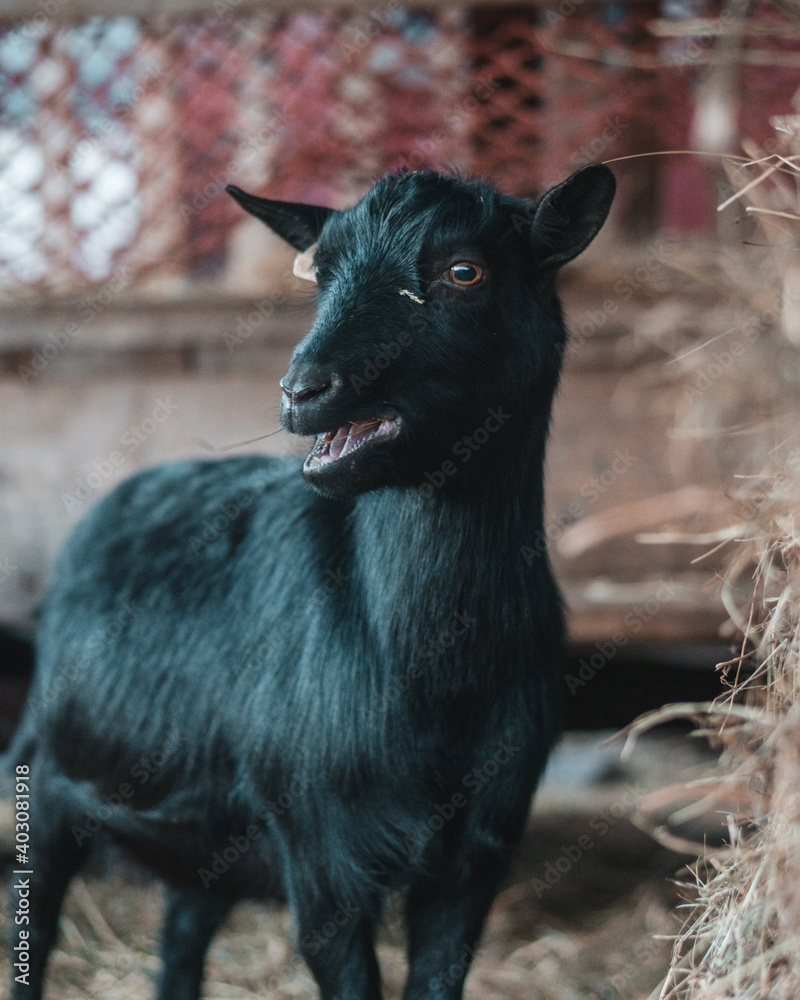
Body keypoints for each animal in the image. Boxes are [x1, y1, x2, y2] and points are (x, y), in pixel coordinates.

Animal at [7, 163, 615, 1000]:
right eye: (321, 272)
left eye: (465, 271)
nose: (302, 390)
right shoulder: (320, 851)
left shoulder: (479, 851)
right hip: (49, 781)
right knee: (37, 922)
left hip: (209, 835)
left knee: (182, 934)